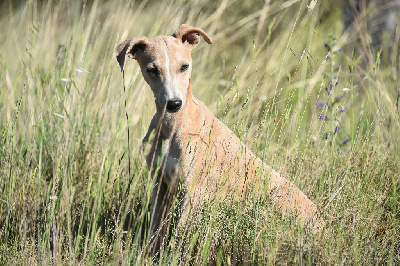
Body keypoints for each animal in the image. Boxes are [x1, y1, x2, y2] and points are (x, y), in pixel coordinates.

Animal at [115, 24, 322, 251]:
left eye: (184, 67)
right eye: (152, 70)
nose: (174, 103)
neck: (174, 126)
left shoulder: (194, 191)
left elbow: (179, 240)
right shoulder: (160, 183)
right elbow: (155, 231)